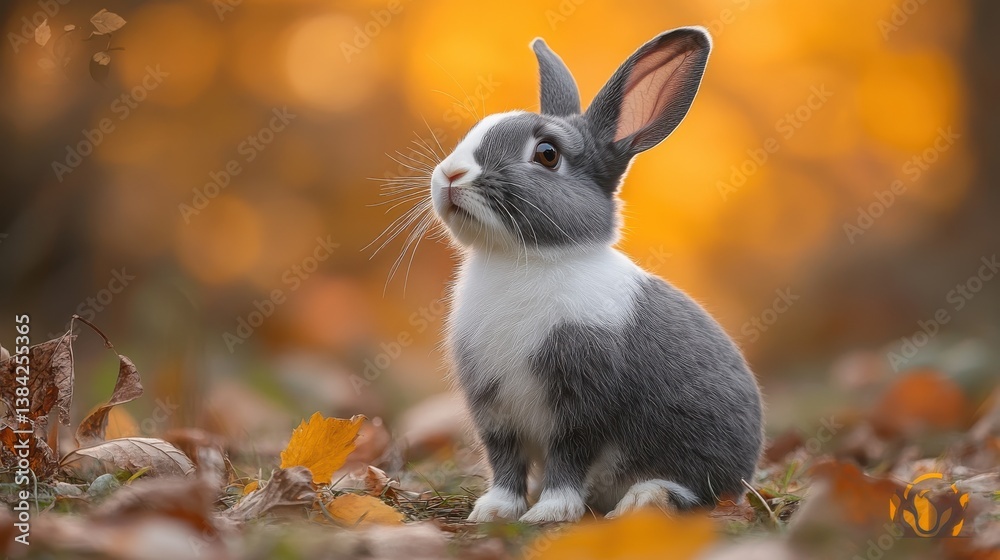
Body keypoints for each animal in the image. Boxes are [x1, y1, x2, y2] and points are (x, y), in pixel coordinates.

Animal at [427, 27, 764, 523]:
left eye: (547, 154)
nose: (451, 174)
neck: (528, 258)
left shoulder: (582, 400)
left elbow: (569, 457)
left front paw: (549, 513)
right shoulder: (492, 406)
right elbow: (504, 459)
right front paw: (494, 510)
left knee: (696, 492)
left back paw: (644, 501)